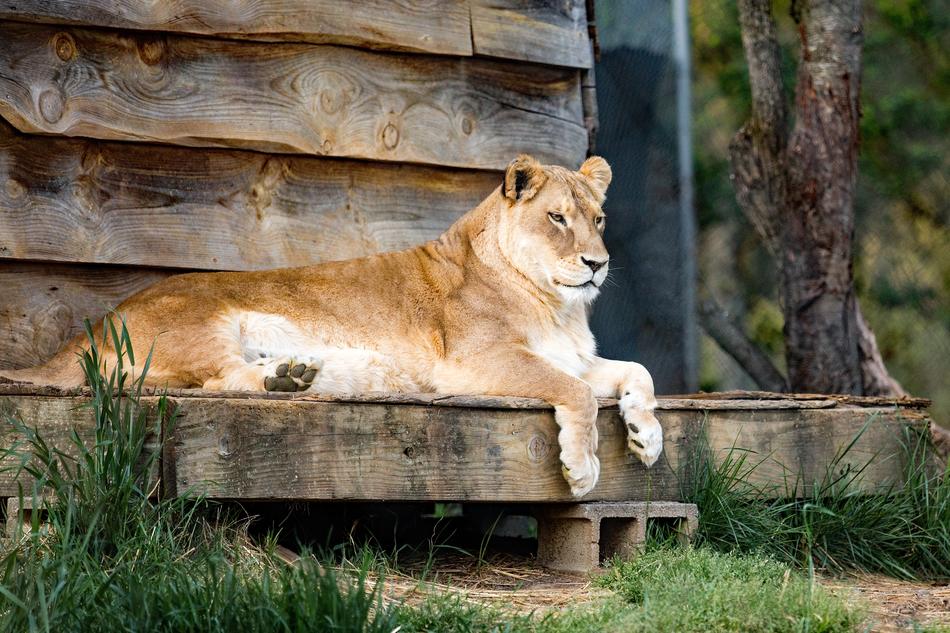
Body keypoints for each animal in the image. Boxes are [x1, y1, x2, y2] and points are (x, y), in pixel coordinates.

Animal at [0, 154, 663, 497]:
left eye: (599, 220)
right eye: (557, 218)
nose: (597, 263)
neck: (558, 306)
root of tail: (87, 331)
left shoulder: (575, 356)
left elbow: (639, 372)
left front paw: (646, 437)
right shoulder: (478, 363)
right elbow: (575, 393)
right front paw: (583, 467)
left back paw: (298, 373)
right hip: (204, 322)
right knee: (215, 383)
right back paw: (285, 380)